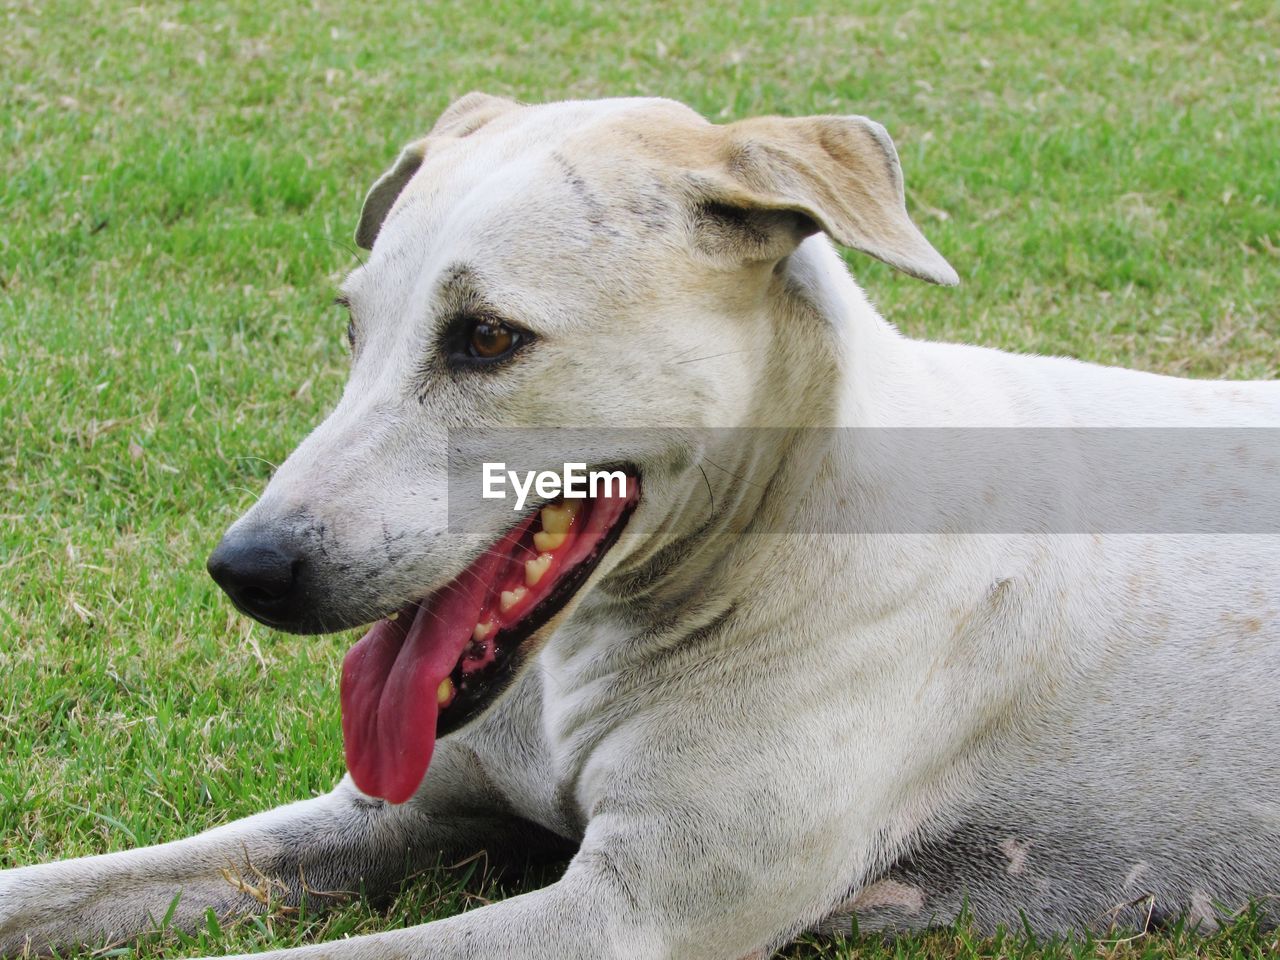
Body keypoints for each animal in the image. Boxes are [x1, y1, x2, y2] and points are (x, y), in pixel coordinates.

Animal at [2, 92, 1280, 960]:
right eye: (353, 325)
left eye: (487, 338)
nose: (246, 569)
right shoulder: (386, 813)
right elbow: (62, 888)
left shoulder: (632, 915)